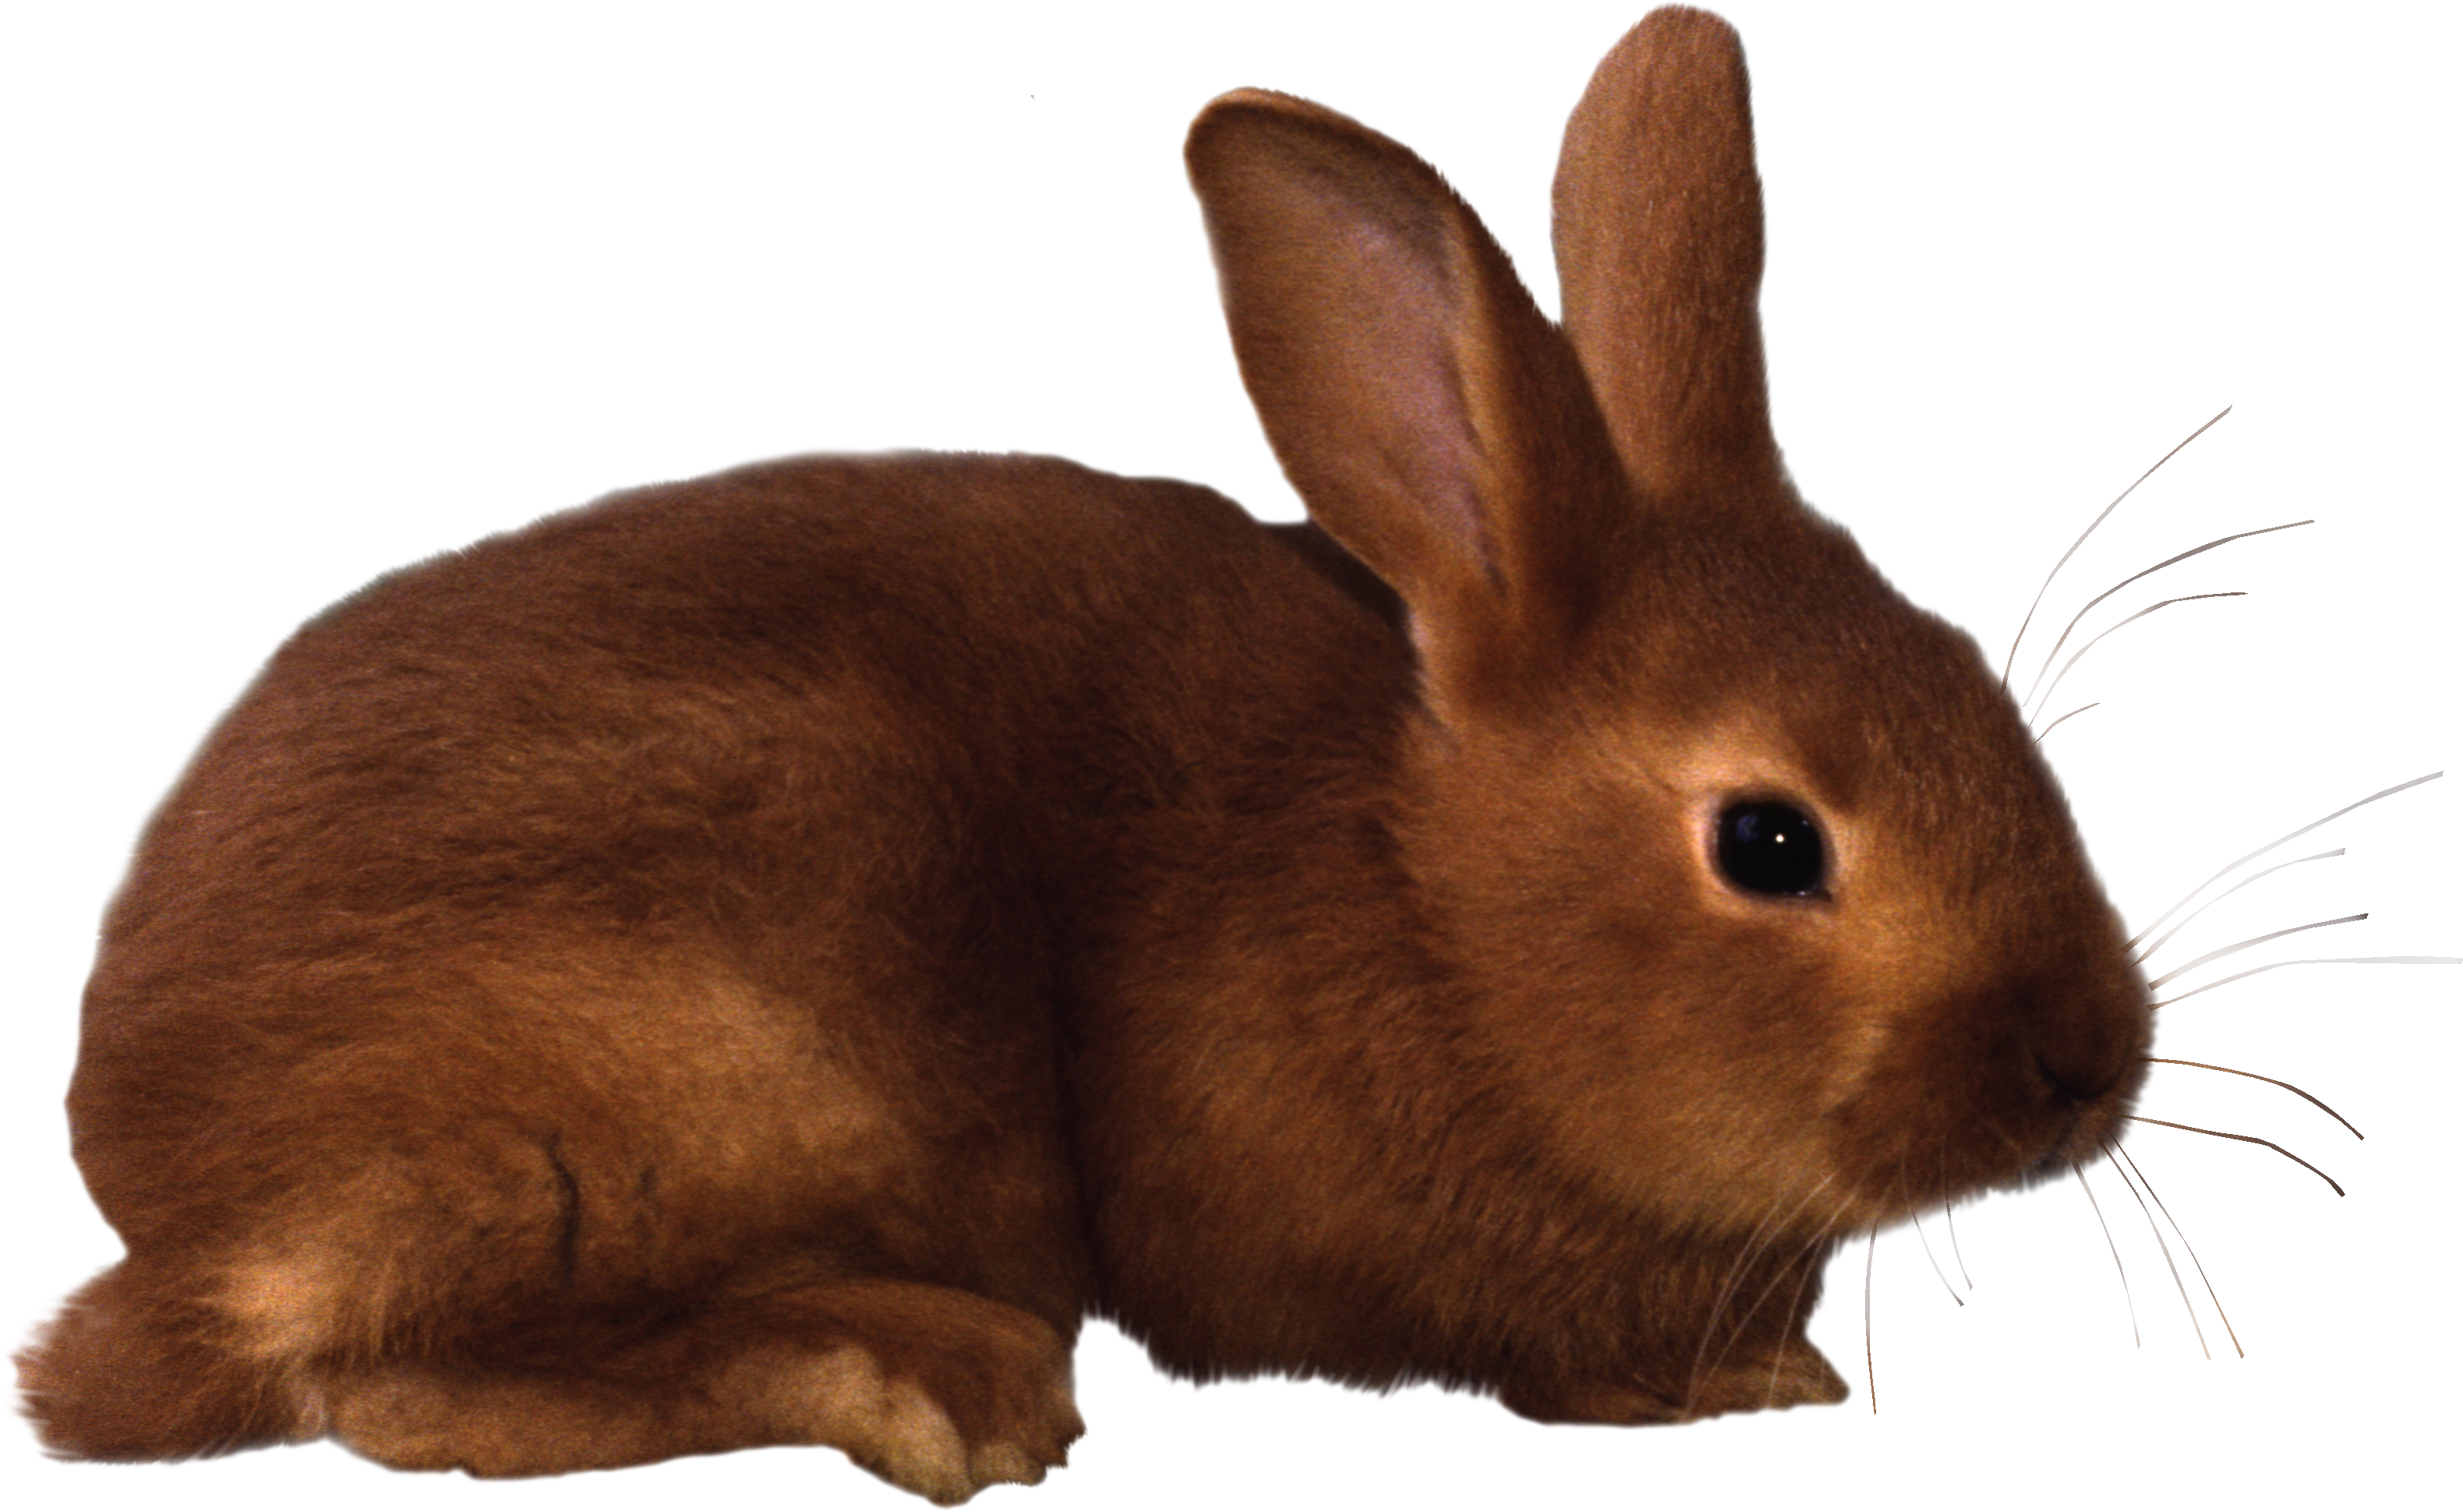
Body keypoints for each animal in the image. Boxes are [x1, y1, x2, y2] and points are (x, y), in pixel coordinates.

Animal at [6, 6, 2166, 1504]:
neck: (1423, 897)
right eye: (1769, 842)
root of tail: (170, 1190)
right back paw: (935, 1381)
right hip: (742, 1033)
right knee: (393, 1380)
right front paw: (1712, 1382)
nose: (2082, 1068)